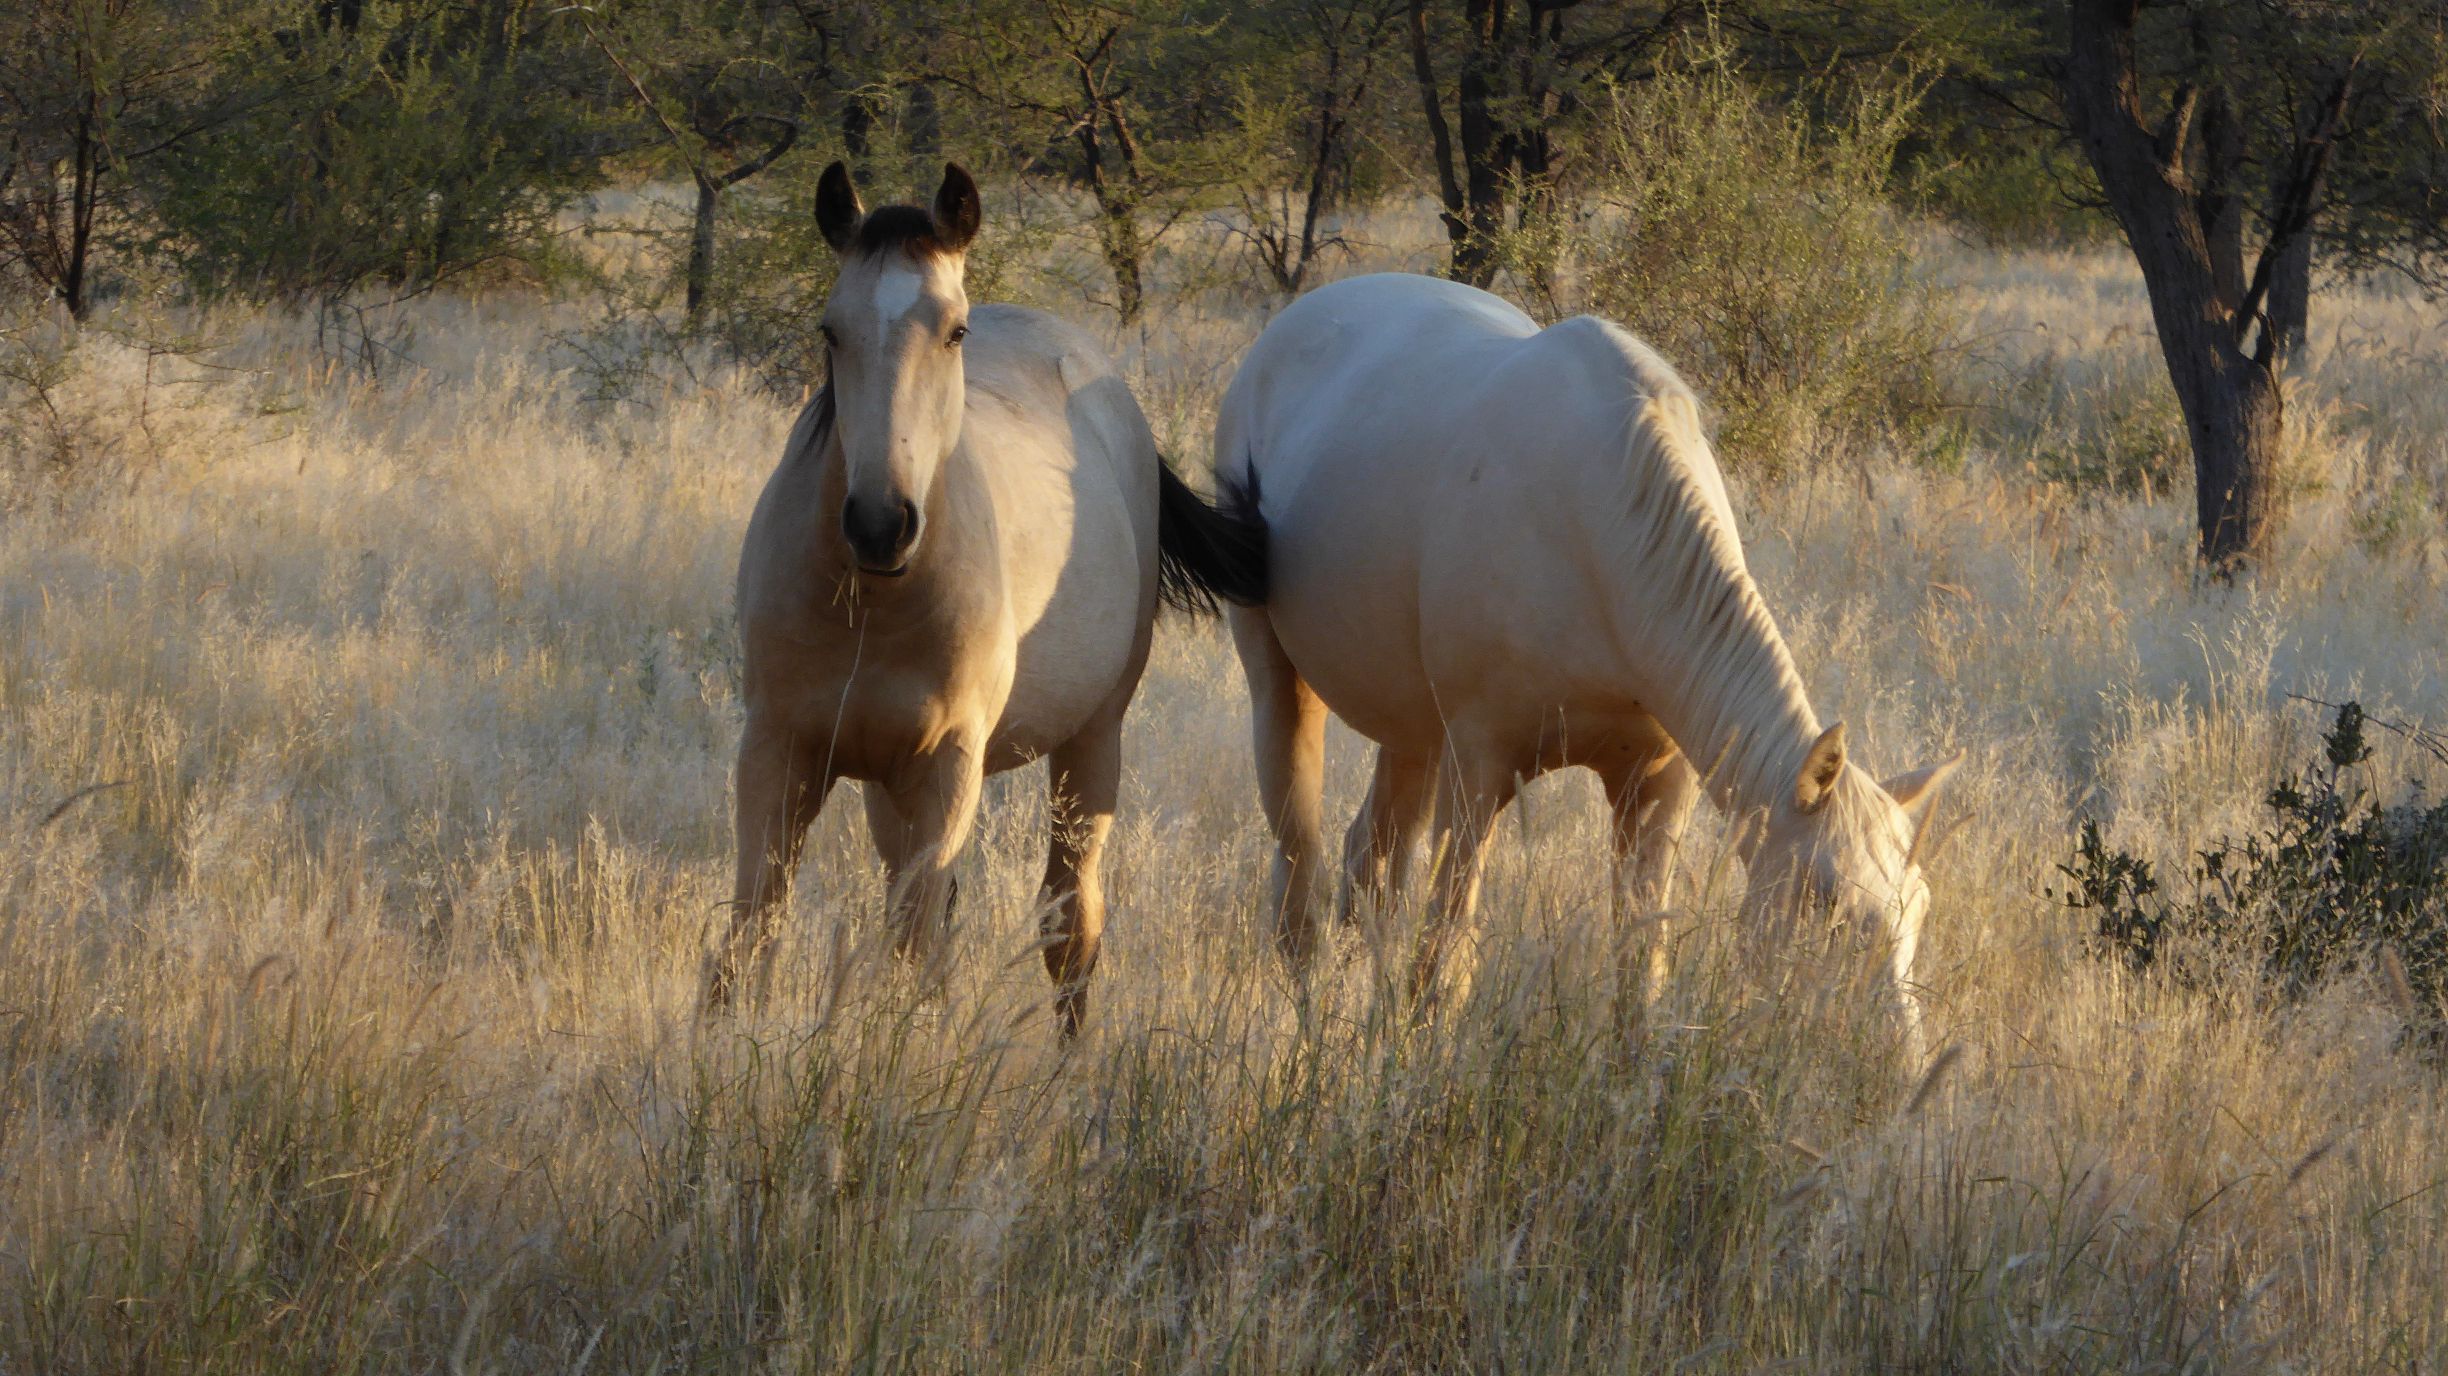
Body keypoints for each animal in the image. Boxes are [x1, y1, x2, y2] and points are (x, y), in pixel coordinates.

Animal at [700, 162, 1263, 1028]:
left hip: (1091, 742)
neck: (870, 602)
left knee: (1071, 926)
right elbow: (750, 938)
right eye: (830, 331)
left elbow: (920, 944)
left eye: (954, 332)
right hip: (886, 782)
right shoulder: (779, 749)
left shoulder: (947, 763)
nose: (879, 524)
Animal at [1214, 272, 1958, 1047]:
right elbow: (1445, 959)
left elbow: (1640, 963)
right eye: (1827, 903)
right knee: (1299, 883)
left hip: (1412, 733)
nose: (1899, 1061)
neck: (1599, 520)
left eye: (1919, 906)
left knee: (1369, 864)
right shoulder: (1478, 766)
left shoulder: (1656, 780)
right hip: (1282, 683)